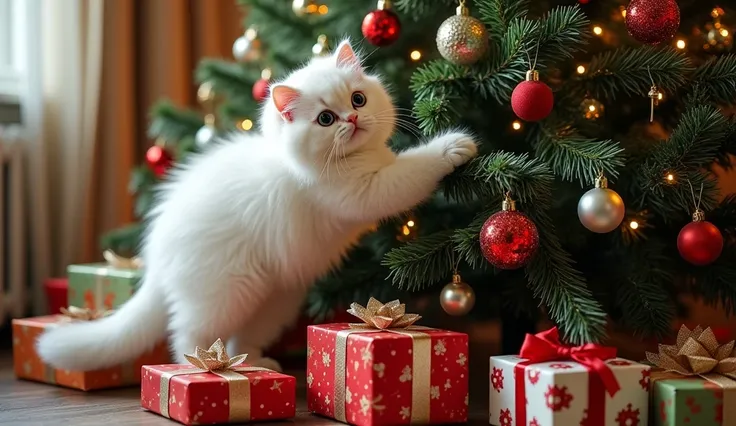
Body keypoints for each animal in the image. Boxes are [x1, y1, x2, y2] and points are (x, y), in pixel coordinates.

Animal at [37, 40, 478, 372]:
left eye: (358, 99)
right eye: (325, 119)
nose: (352, 120)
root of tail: (157, 255)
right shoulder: (366, 190)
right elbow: (414, 167)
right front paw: (454, 146)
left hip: (274, 298)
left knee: (239, 339)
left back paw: (254, 365)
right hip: (224, 291)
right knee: (187, 334)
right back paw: (204, 368)